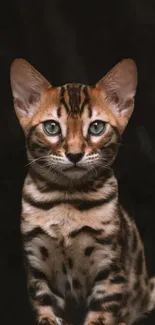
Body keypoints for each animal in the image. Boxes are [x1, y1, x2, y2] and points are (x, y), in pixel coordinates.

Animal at [10, 58, 155, 324]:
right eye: (52, 127)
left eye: (96, 127)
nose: (75, 154)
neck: (66, 199)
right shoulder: (37, 269)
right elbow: (45, 312)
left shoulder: (110, 271)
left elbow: (99, 317)